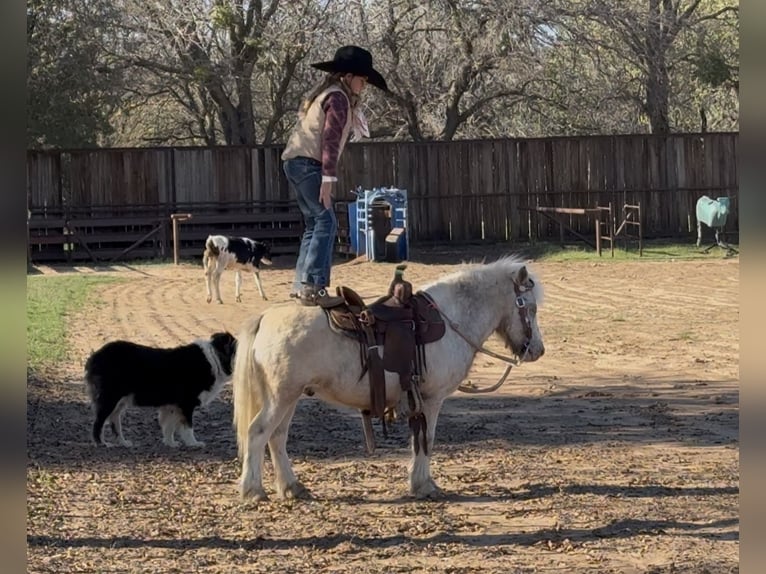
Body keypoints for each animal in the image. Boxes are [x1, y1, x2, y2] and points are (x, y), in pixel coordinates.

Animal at [231, 256, 545, 501]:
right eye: (530, 308)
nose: (537, 351)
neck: (450, 320)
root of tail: (265, 318)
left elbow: (417, 438)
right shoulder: (432, 398)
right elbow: (427, 438)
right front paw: (424, 485)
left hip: (290, 397)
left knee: (277, 437)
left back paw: (292, 487)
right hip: (281, 397)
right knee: (258, 433)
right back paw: (253, 490)